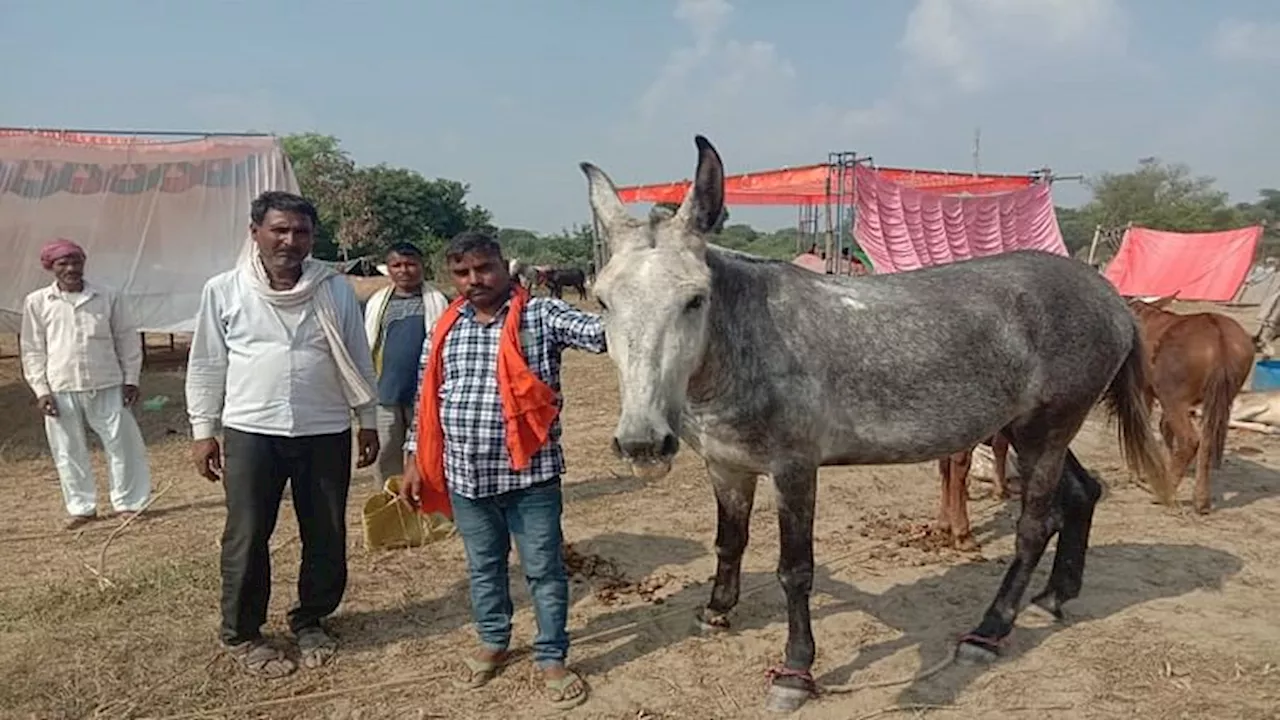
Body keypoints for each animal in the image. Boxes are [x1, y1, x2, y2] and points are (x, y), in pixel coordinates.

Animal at [1131, 295, 1249, 509]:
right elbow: (1164, 428)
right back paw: (1201, 500)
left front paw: (1137, 473)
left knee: (1189, 440)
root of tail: (1217, 336)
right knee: (1207, 440)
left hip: (1173, 398)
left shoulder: (1144, 388)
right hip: (1218, 399)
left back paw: (1165, 493)